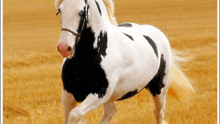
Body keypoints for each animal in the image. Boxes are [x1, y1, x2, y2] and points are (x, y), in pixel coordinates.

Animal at [55, 0, 194, 123]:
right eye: (59, 10)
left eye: (82, 12)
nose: (64, 48)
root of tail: (158, 33)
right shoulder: (68, 94)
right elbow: (68, 117)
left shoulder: (100, 94)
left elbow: (74, 115)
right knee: (110, 112)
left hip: (159, 89)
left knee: (158, 114)